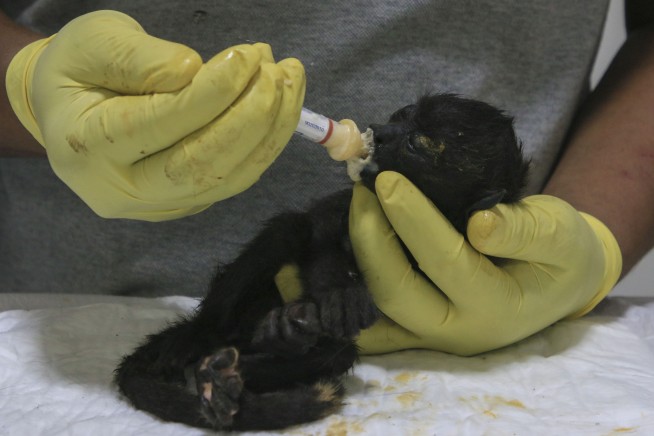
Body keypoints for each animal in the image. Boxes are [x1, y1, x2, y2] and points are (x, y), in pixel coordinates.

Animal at [114, 93, 530, 431]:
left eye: (418, 142)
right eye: (402, 114)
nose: (380, 131)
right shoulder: (350, 201)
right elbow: (318, 229)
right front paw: (341, 289)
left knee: (338, 351)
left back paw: (259, 353)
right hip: (225, 314)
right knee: (285, 230)